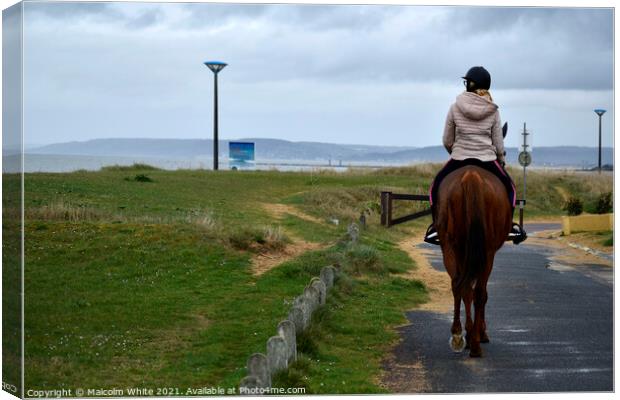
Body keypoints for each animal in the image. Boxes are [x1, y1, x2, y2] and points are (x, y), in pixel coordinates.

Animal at [434, 164, 512, 358]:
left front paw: (469, 334)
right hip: (486, 252)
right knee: (477, 291)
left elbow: (466, 290)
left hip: (451, 246)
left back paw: (461, 336)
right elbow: (481, 294)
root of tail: (471, 176)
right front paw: (480, 333)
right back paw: (474, 341)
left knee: (460, 286)